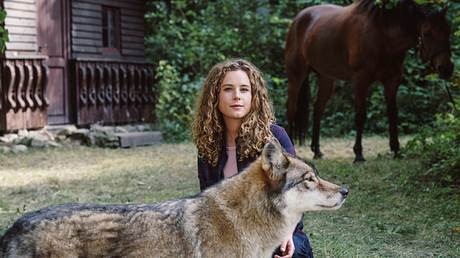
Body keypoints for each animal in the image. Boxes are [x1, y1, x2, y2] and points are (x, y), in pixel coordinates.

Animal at [286, 0, 454, 162]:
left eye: (448, 31)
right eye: (427, 33)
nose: (446, 69)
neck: (382, 34)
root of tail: (298, 18)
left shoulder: (392, 81)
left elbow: (393, 113)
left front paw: (396, 150)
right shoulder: (361, 79)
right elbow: (360, 115)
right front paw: (358, 154)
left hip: (327, 78)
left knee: (318, 109)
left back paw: (317, 151)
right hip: (296, 75)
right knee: (291, 109)